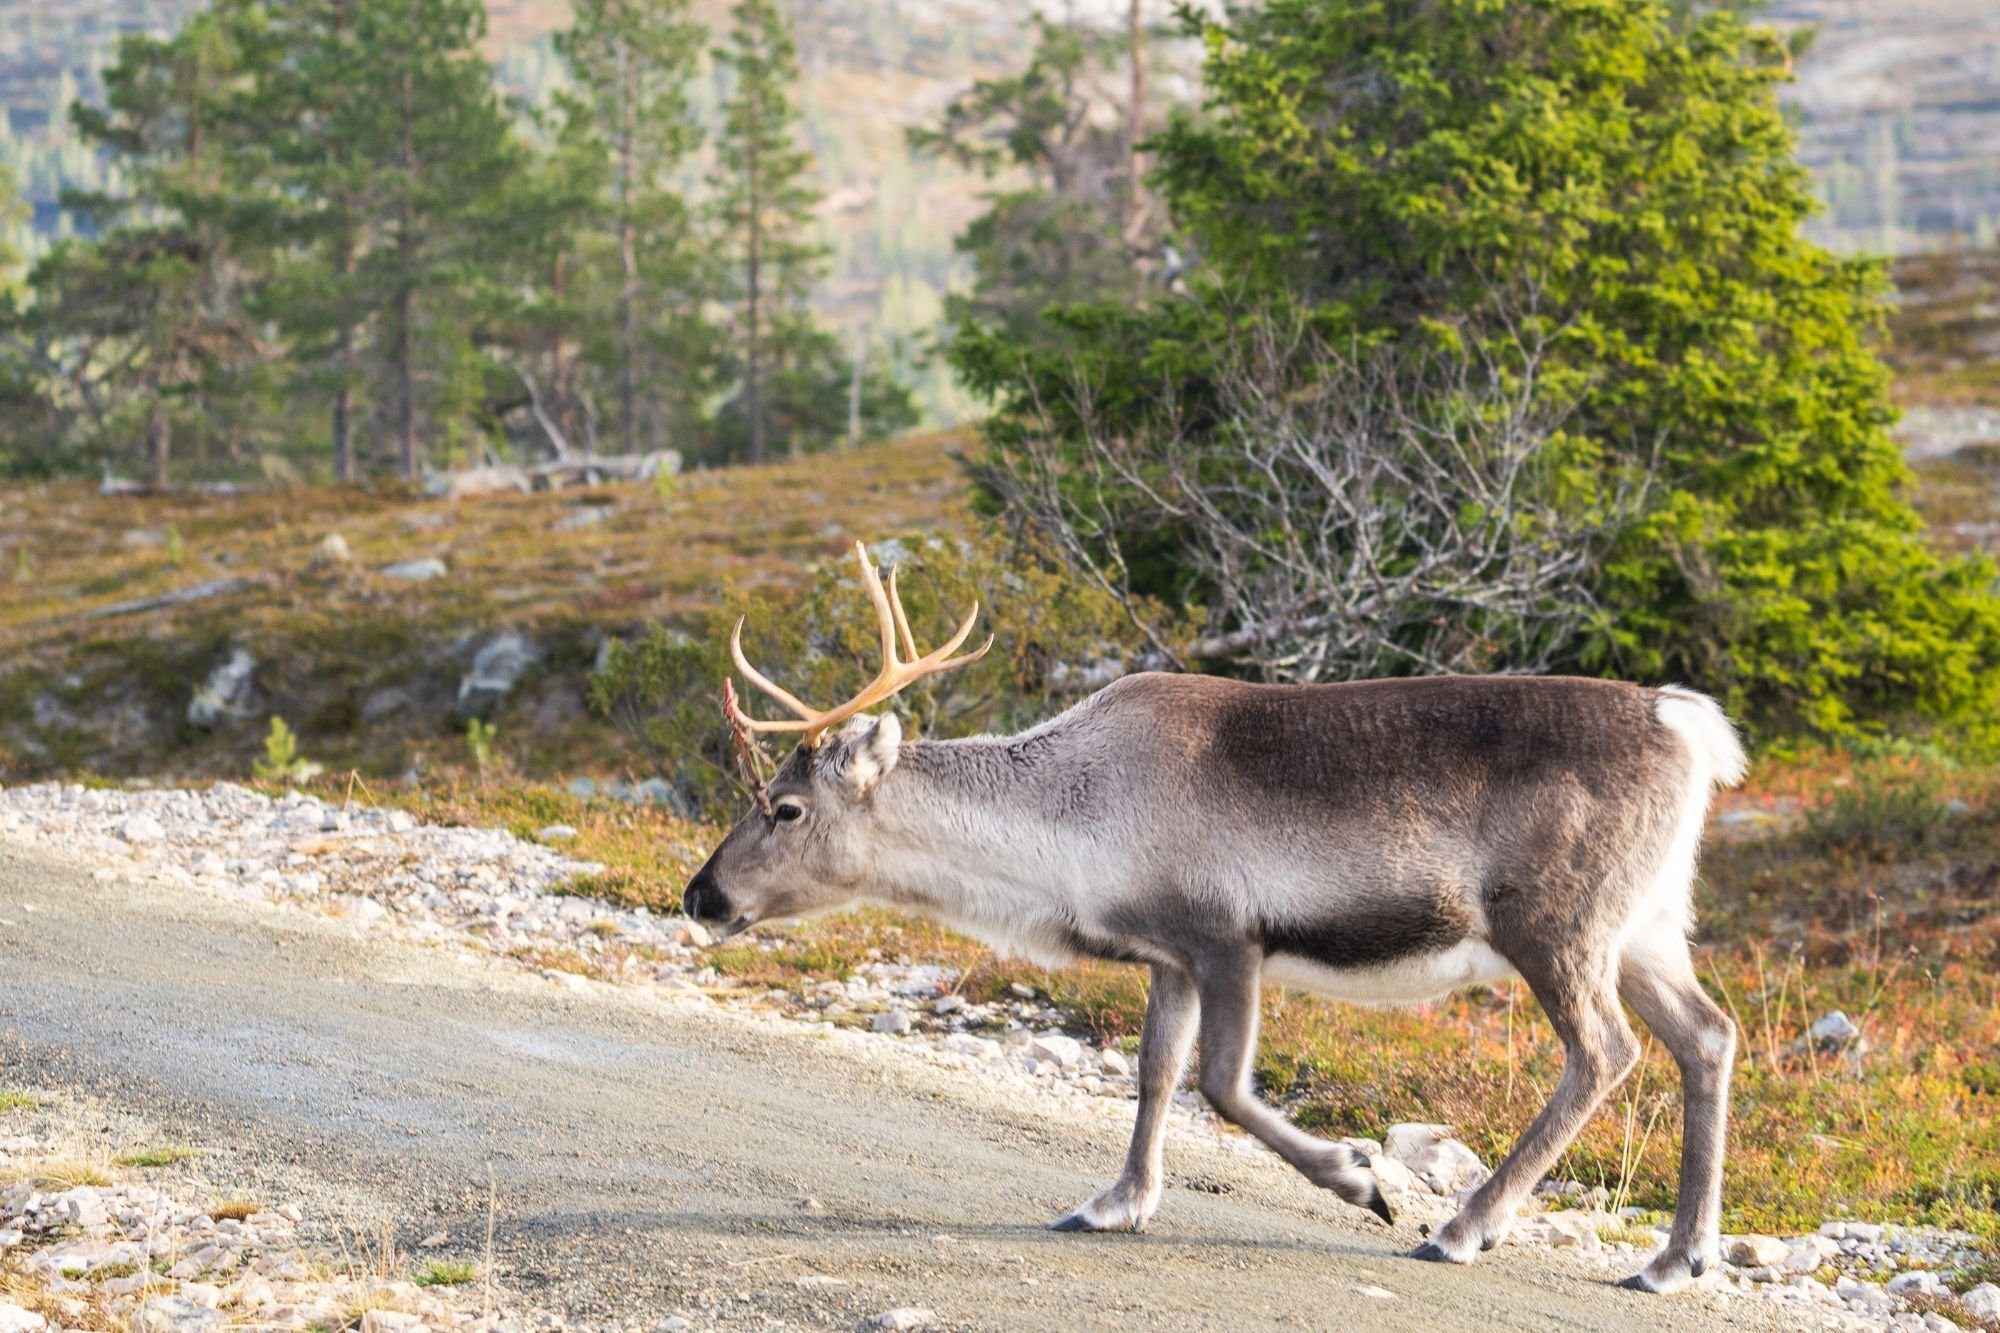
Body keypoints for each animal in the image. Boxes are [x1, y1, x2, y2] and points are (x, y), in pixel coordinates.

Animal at [682, 541, 1747, 1295]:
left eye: (785, 807)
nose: (702, 896)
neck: (1070, 824)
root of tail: (1690, 724)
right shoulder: (1168, 956)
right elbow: (1156, 1073)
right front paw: (1114, 1202)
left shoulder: (1227, 937)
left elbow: (1223, 1085)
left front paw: (1361, 1179)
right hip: (1649, 925)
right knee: (1708, 1035)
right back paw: (1672, 1258)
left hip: (1558, 922)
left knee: (1605, 1051)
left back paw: (1461, 1229)